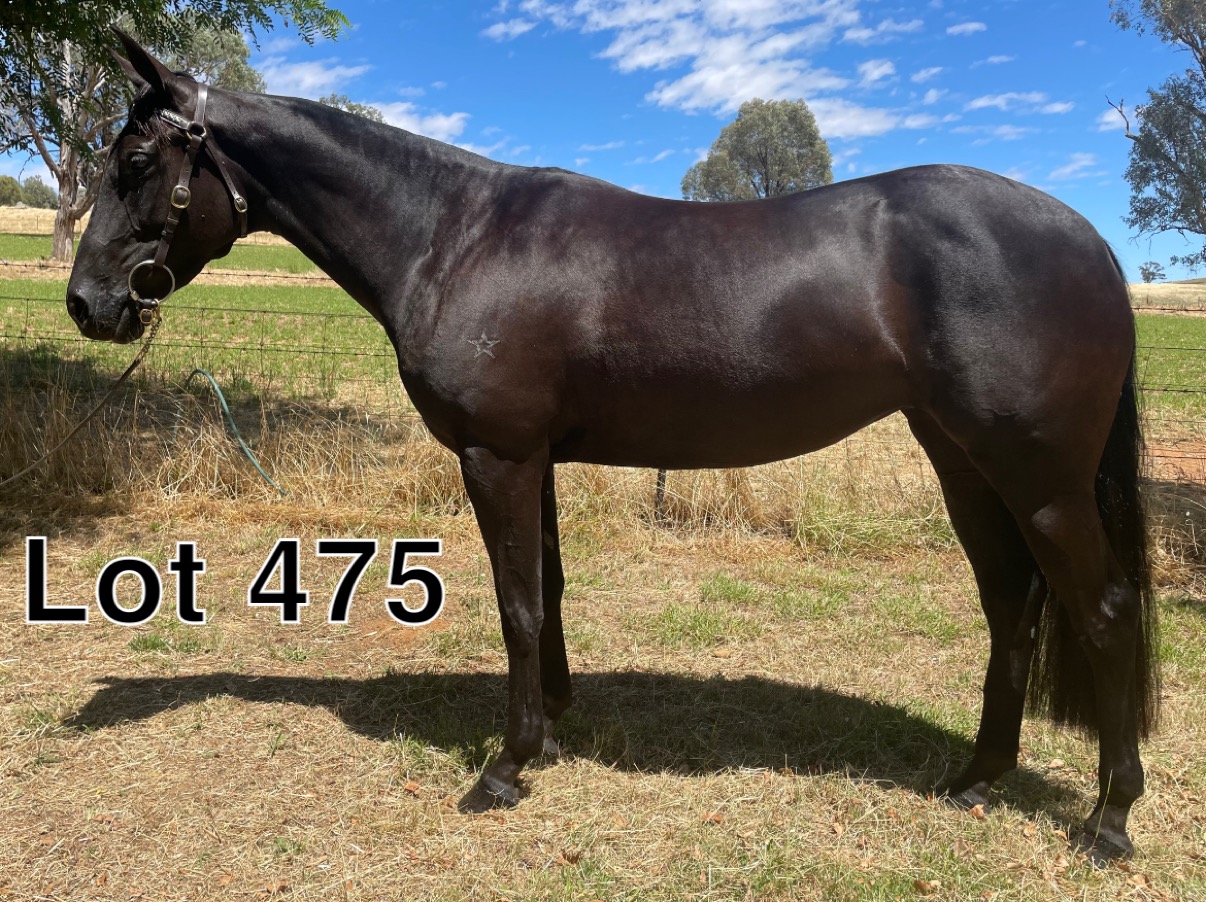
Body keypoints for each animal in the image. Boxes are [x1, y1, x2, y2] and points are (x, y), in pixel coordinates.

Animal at [66, 32, 1159, 862]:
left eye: (135, 166)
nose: (88, 303)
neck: (451, 234)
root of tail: (1092, 243)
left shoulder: (497, 455)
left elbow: (514, 602)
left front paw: (505, 767)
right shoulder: (534, 457)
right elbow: (546, 590)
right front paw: (552, 728)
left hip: (1042, 478)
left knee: (1103, 612)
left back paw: (1108, 819)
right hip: (965, 463)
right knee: (1013, 607)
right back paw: (976, 778)